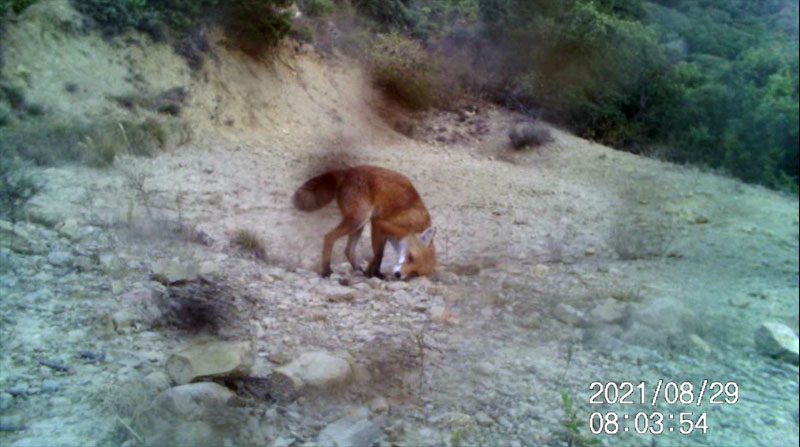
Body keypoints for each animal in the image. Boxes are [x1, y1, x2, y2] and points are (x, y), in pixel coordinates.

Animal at [292, 166, 434, 280]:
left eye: (415, 273)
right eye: (410, 257)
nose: (398, 274)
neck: (414, 226)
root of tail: (348, 171)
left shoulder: (383, 232)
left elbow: (377, 256)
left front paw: (372, 273)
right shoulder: (379, 223)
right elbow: (378, 255)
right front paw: (374, 274)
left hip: (359, 224)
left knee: (348, 250)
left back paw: (356, 270)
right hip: (359, 219)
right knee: (329, 238)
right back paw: (326, 271)